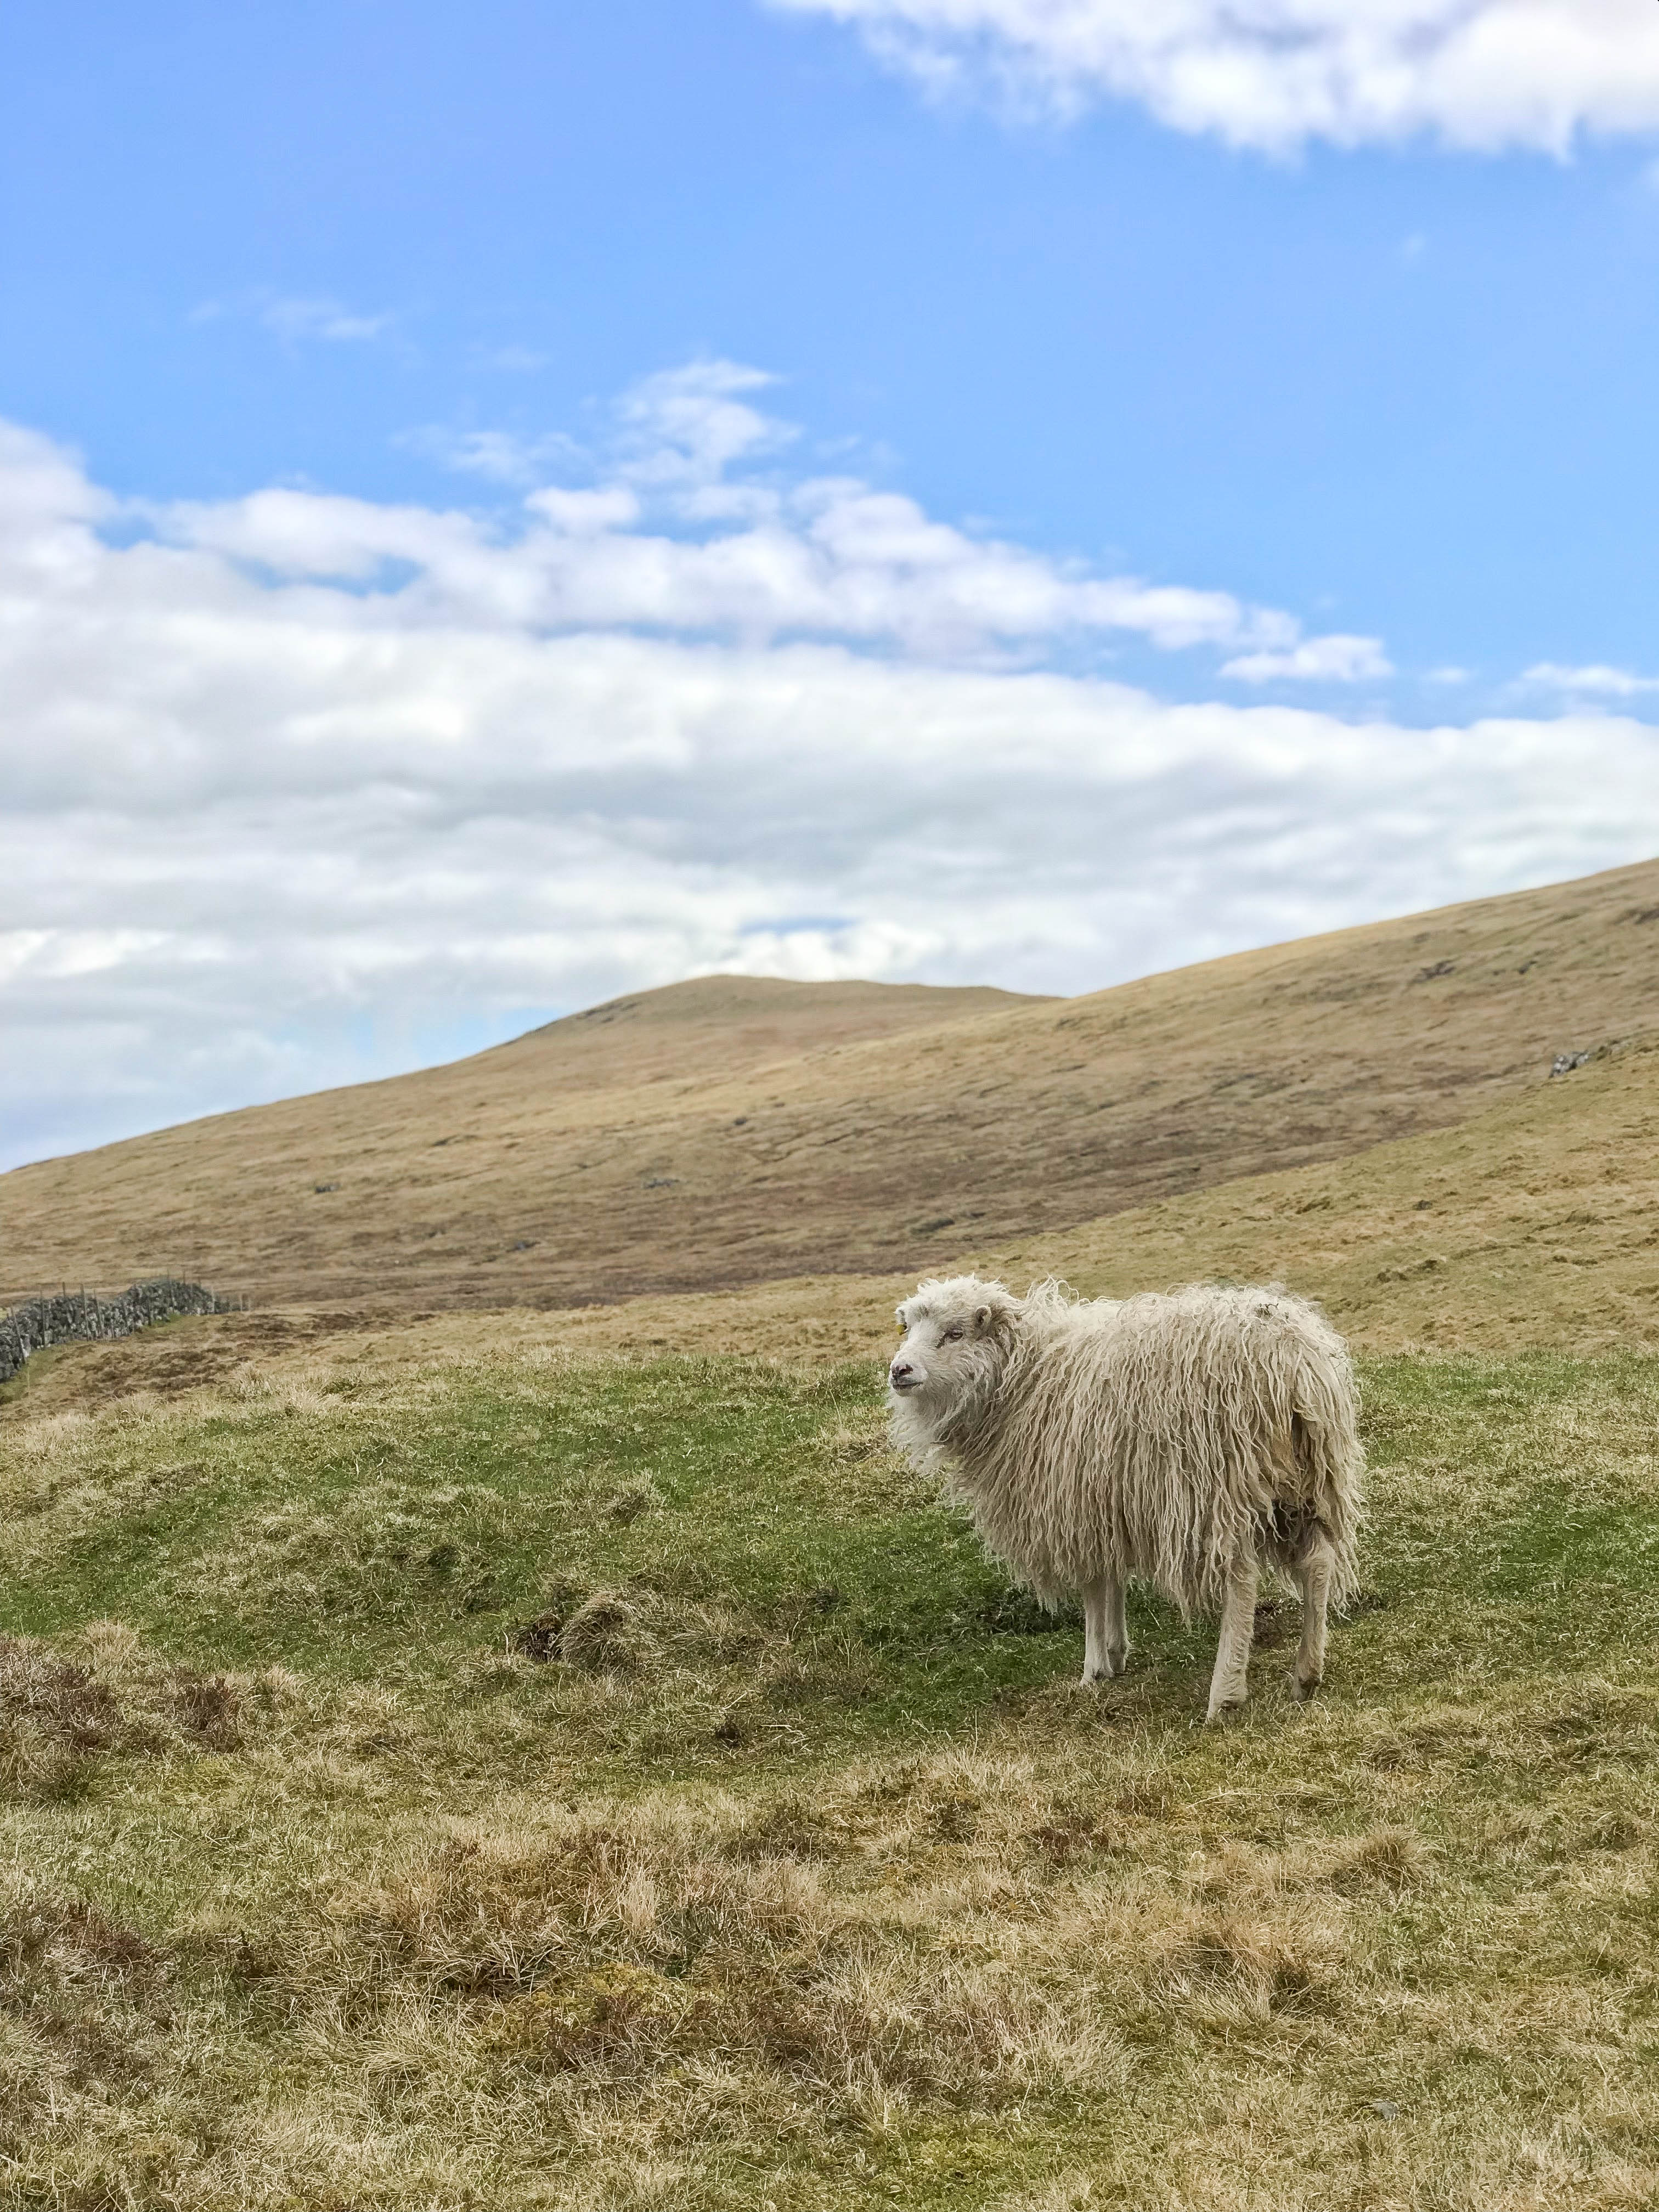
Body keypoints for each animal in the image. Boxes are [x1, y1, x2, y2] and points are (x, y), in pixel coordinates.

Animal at [889, 1283, 1371, 1725]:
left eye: (954, 1333)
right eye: (909, 1328)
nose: (899, 1370)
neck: (1024, 1375)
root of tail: (1288, 1360)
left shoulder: (1074, 1501)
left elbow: (1092, 1585)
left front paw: (1093, 1667)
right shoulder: (1105, 1496)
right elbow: (1111, 1575)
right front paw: (1116, 1650)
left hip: (1220, 1484)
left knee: (1242, 1580)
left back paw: (1225, 1695)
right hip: (1309, 1480)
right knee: (1319, 1561)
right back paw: (1307, 1675)